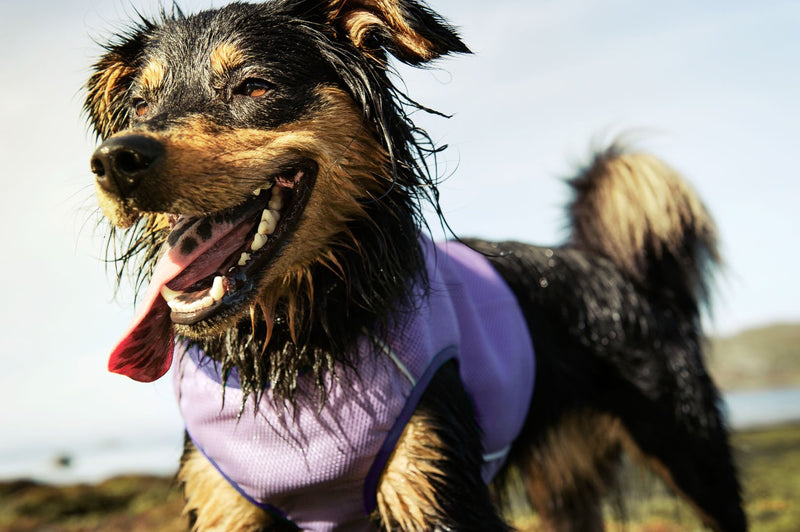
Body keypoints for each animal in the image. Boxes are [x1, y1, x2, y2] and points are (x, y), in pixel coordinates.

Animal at [84, 2, 748, 528]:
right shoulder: (224, 502)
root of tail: (614, 268)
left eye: (254, 86)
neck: (298, 346)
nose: (115, 160)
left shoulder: (432, 483)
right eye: (139, 104)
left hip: (690, 448)